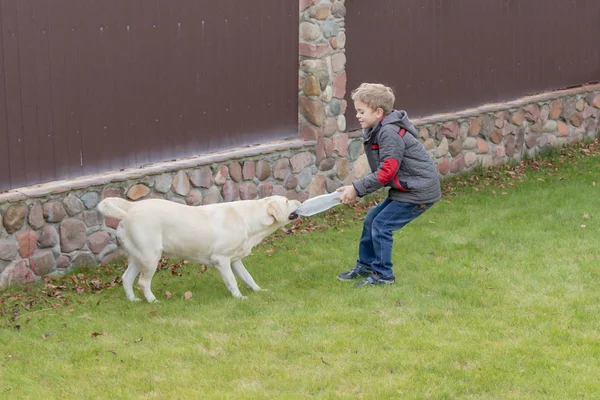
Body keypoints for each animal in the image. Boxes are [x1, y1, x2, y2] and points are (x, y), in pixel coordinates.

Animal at [97, 195, 300, 302]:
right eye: (287, 201)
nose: (298, 200)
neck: (248, 219)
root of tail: (131, 207)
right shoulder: (221, 259)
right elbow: (233, 281)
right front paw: (239, 297)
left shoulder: (235, 260)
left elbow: (248, 277)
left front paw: (258, 291)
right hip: (150, 256)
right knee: (142, 282)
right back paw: (153, 301)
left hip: (138, 257)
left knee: (126, 278)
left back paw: (133, 300)